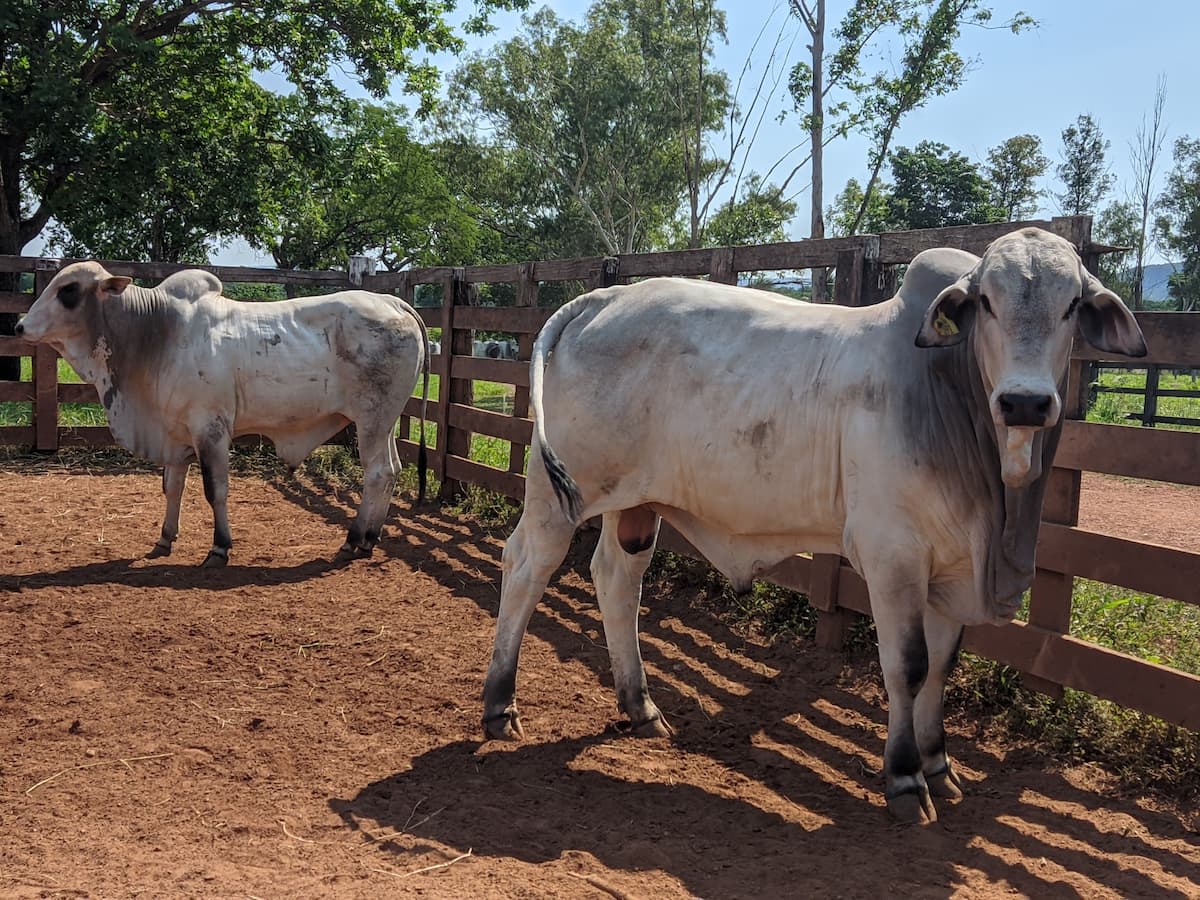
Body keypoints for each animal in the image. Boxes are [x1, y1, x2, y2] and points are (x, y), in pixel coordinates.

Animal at [16, 260, 429, 566]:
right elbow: (172, 488)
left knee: (377, 473)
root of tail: (394, 303)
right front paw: (165, 538)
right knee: (392, 470)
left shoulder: (210, 429)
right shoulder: (175, 434)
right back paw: (370, 538)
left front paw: (220, 546)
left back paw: (354, 539)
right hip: (384, 423)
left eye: (68, 290)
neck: (155, 332)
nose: (19, 326)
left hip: (372, 420)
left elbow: (215, 490)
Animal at [482, 226, 1147, 825]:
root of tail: (600, 299)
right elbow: (907, 665)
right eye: (986, 302)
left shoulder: (954, 567)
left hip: (636, 505)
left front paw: (939, 766)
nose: (1025, 403)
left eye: (1071, 305)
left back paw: (641, 706)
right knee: (526, 567)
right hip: (557, 496)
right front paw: (905, 780)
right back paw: (499, 704)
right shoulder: (892, 557)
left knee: (617, 580)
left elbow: (941, 667)